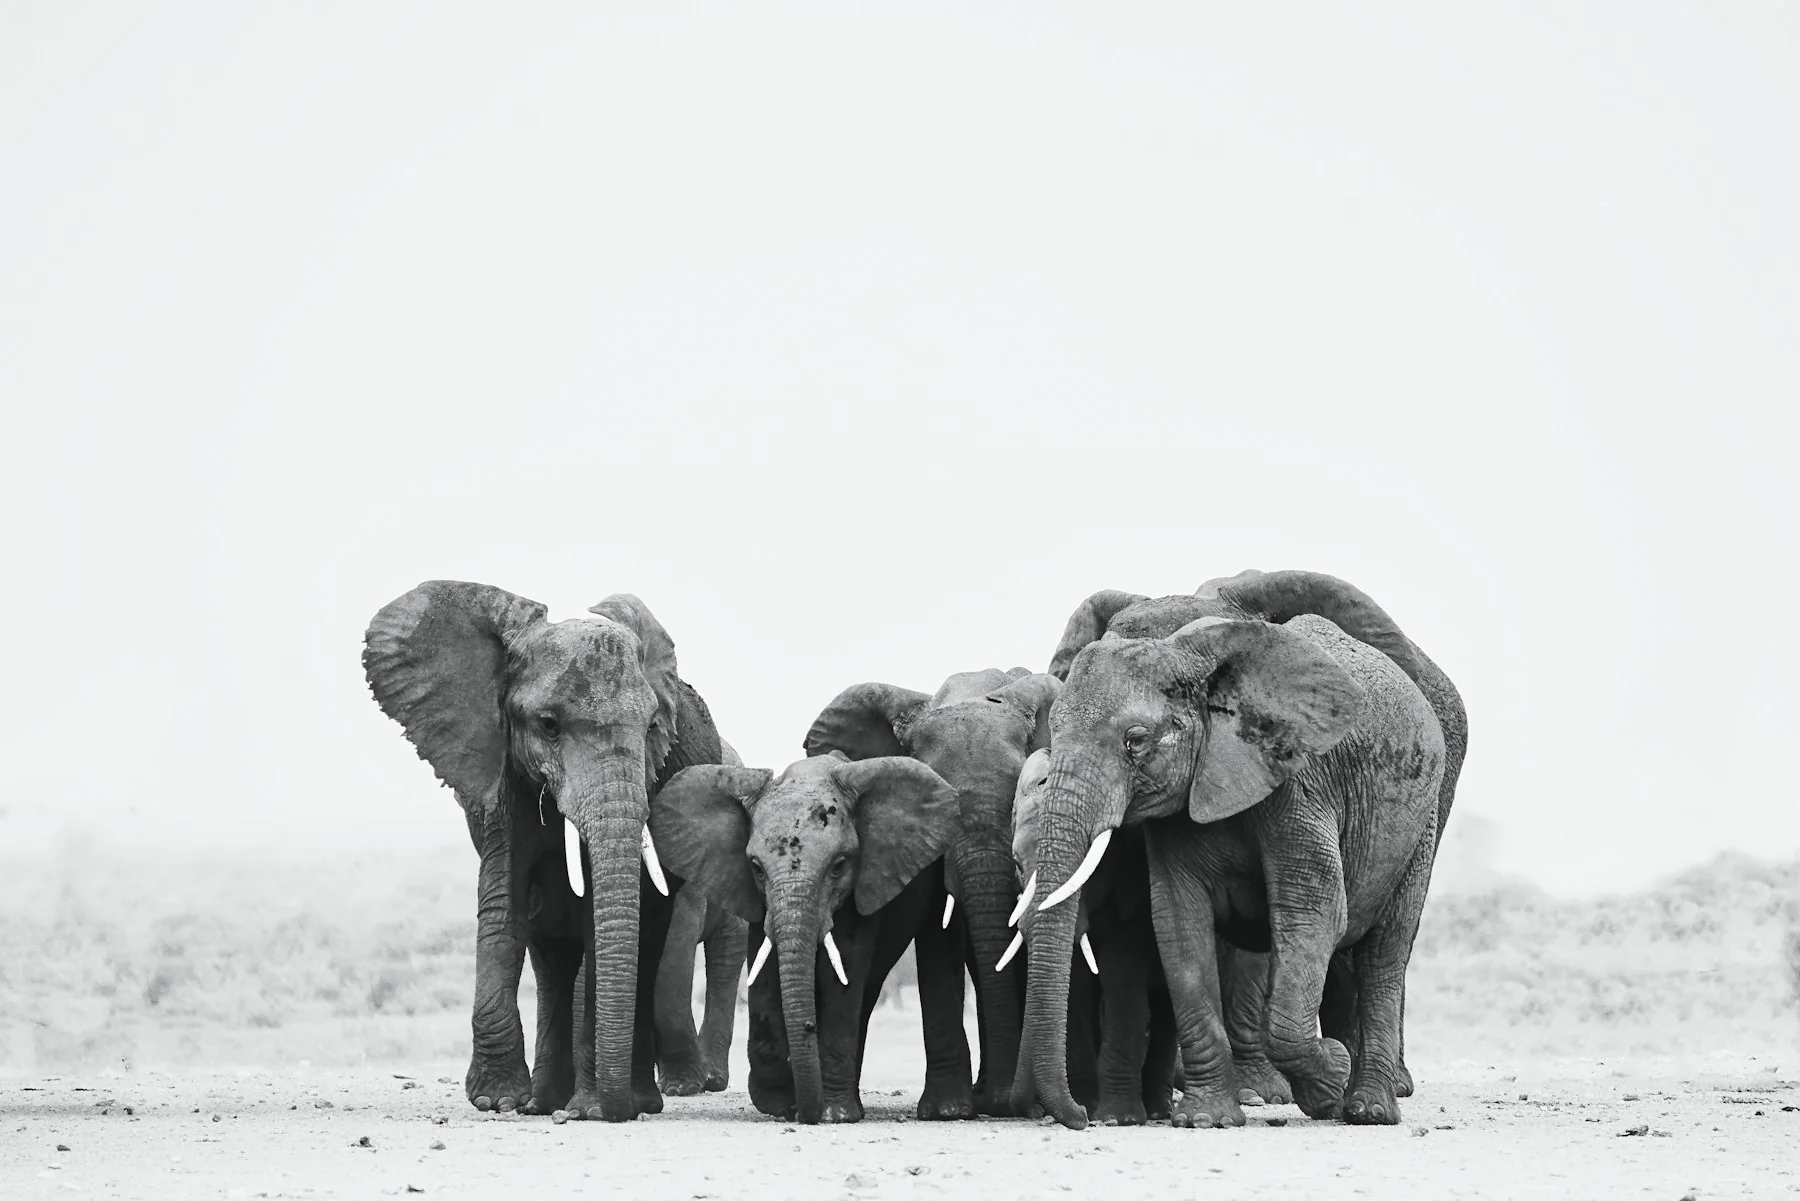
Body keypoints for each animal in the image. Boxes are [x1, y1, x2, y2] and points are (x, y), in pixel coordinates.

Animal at [363, 583, 725, 1121]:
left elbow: (600, 924)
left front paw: (592, 1107)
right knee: (550, 954)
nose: (607, 1111)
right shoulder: (499, 782)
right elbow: (503, 907)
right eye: (549, 725)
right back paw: (545, 1102)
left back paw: (627, 1100)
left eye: (651, 728)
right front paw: (496, 1100)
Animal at [649, 752, 969, 1123]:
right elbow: (766, 972)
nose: (803, 1112)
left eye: (839, 865)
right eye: (756, 867)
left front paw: (834, 1113)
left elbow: (843, 972)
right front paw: (777, 1103)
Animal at [1012, 613, 1447, 1131]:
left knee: (1386, 952)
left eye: (1135, 742)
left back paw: (1370, 1110)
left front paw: (1331, 1077)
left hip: (1420, 824)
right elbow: (1178, 921)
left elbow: (1314, 912)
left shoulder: (1300, 783)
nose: (1080, 1117)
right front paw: (1207, 1119)